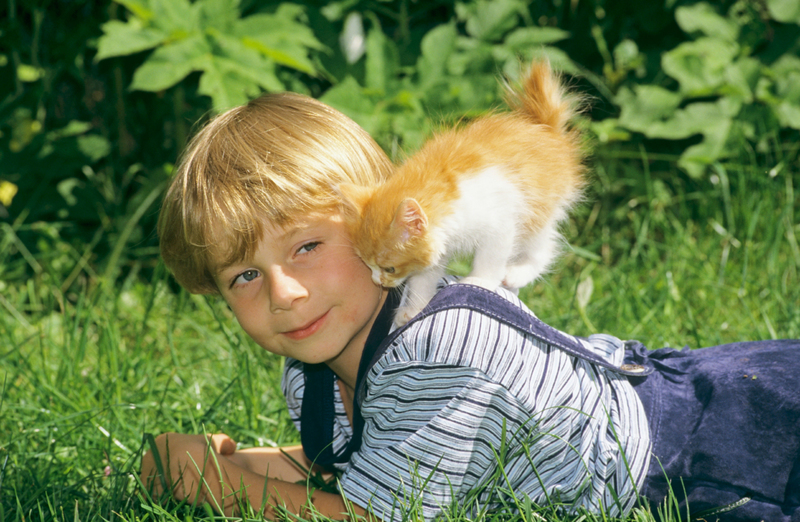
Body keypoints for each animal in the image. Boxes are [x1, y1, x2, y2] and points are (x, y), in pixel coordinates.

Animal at [334, 61, 584, 324]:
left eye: (389, 268)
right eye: (366, 264)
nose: (377, 281)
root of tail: (543, 125)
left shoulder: (500, 222)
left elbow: (491, 257)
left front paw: (478, 281)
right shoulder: (436, 246)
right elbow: (423, 279)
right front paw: (413, 310)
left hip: (538, 207)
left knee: (545, 245)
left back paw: (518, 273)